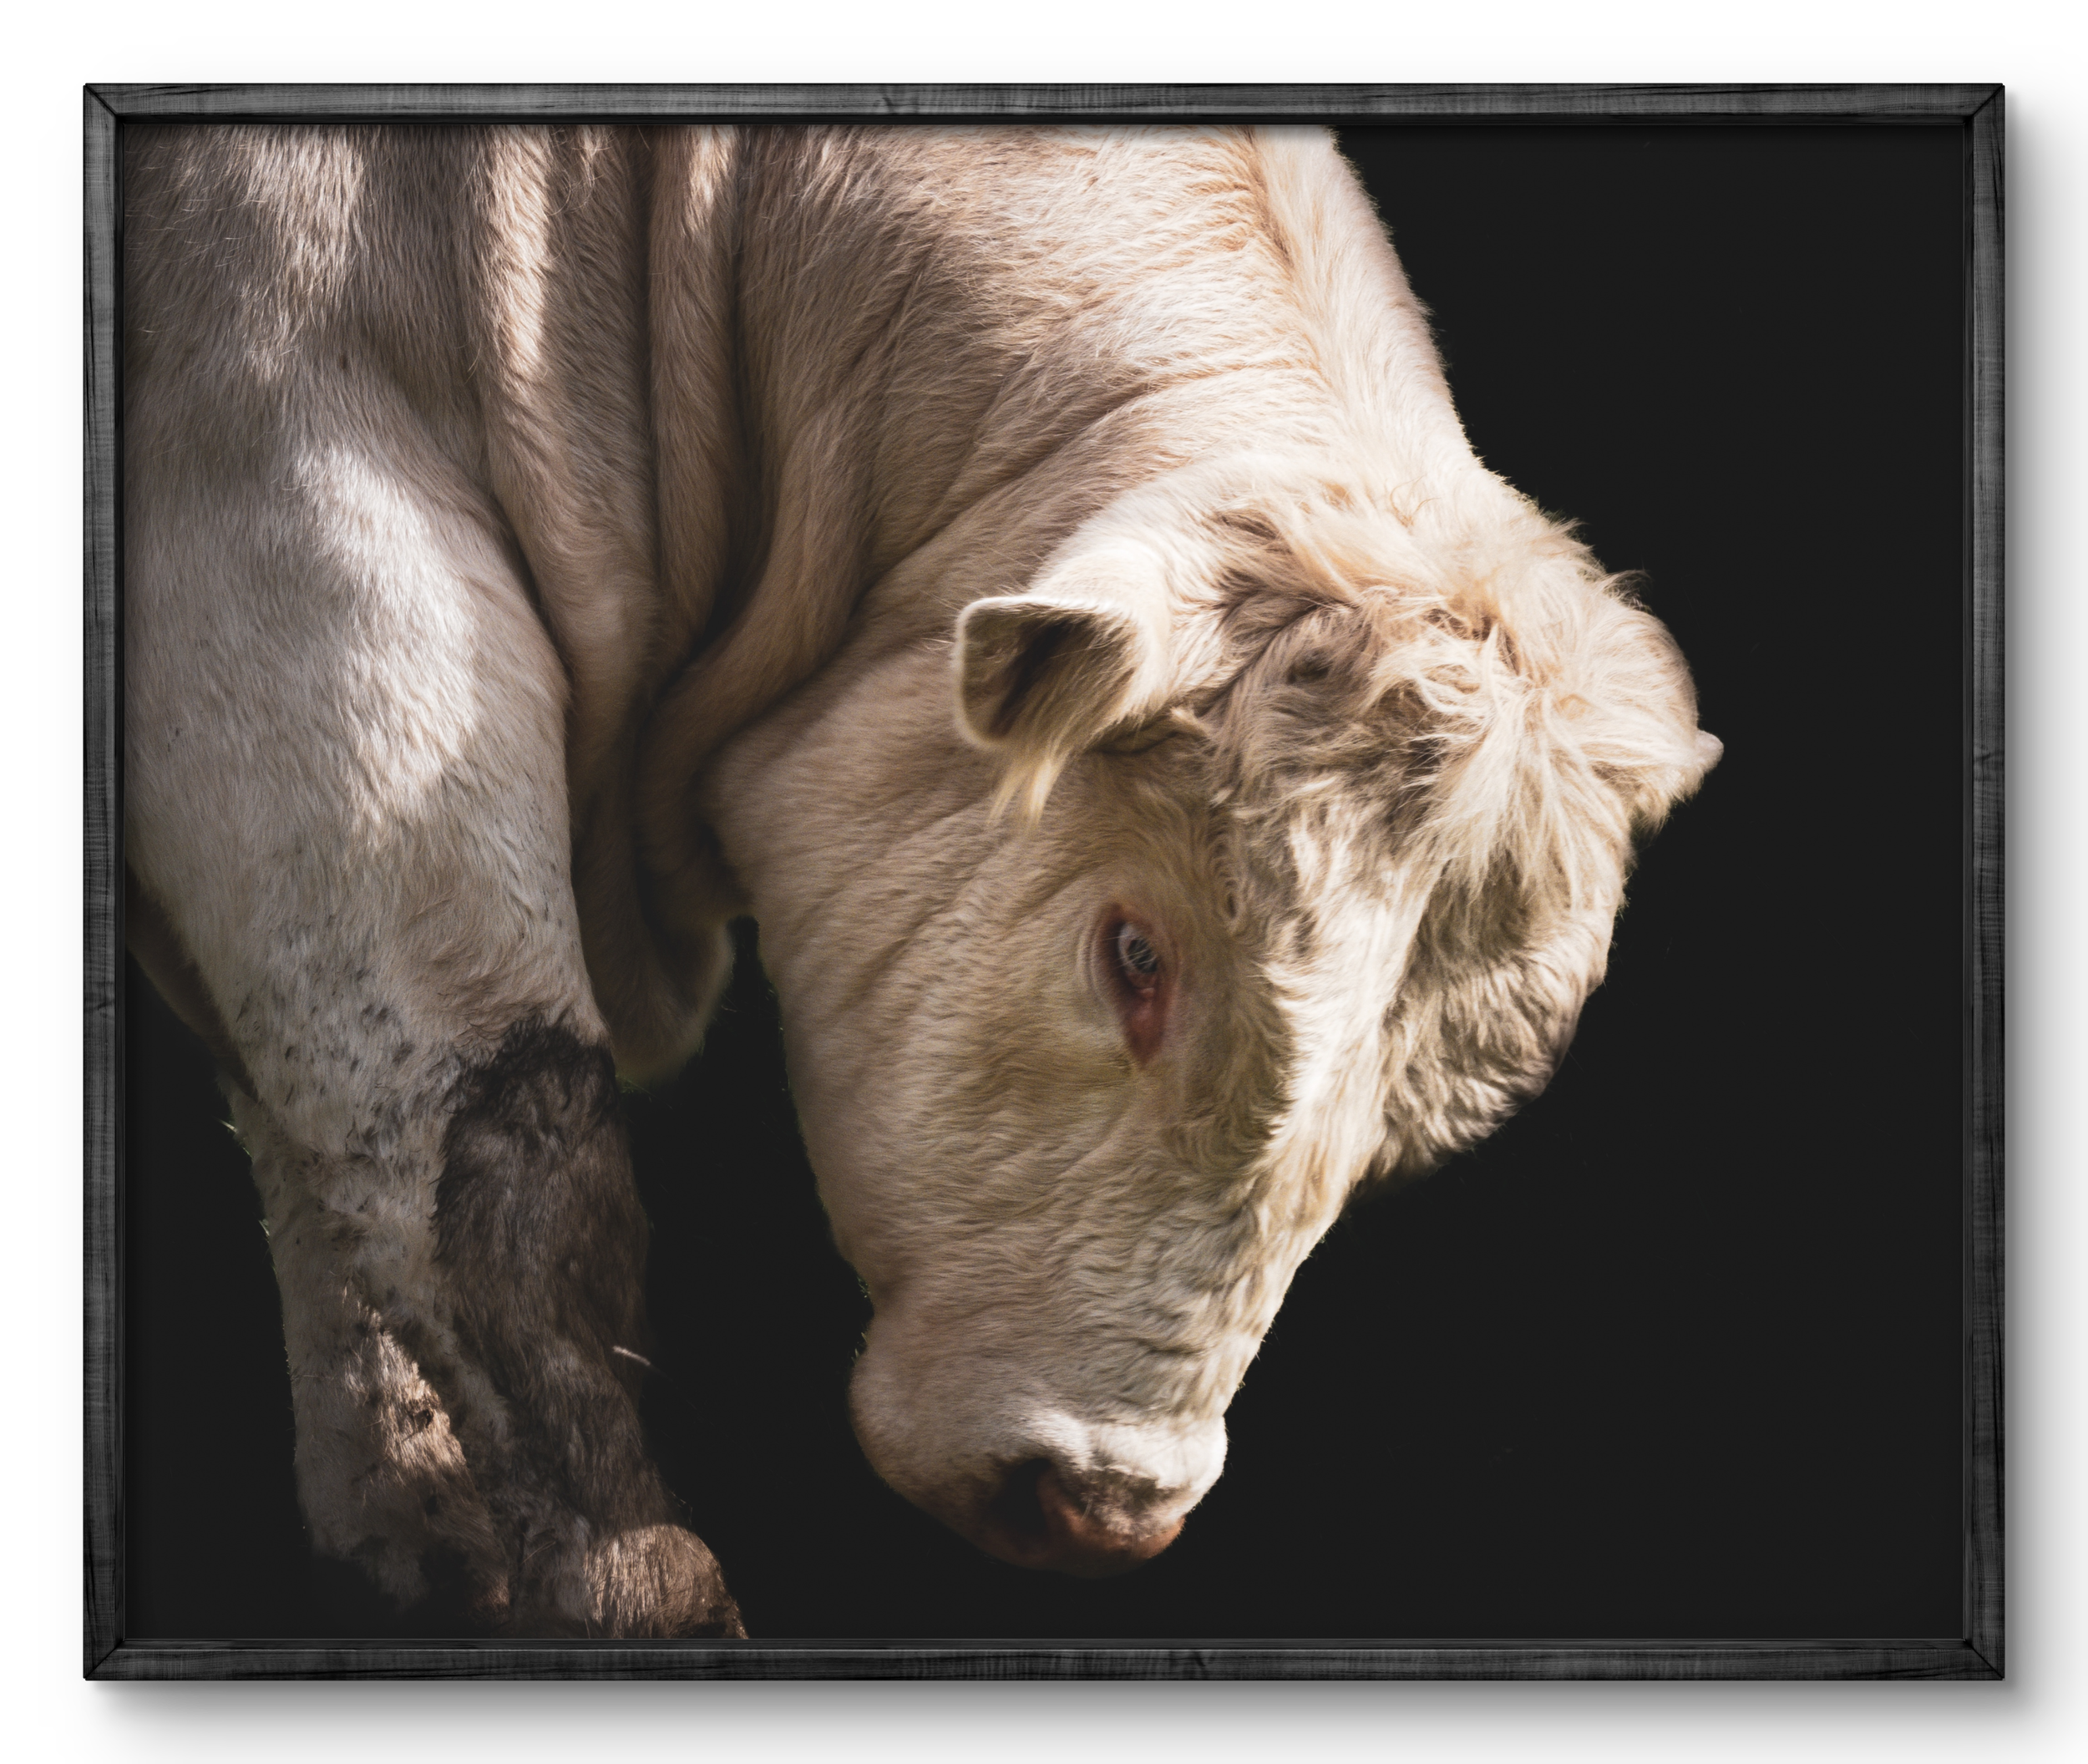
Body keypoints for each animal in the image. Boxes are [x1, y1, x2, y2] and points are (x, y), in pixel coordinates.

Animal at [123, 122, 1720, 1638]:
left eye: (1417, 1108)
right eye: (1134, 954)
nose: (1100, 1507)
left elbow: (343, 1179)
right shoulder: (308, 575)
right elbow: (508, 1179)